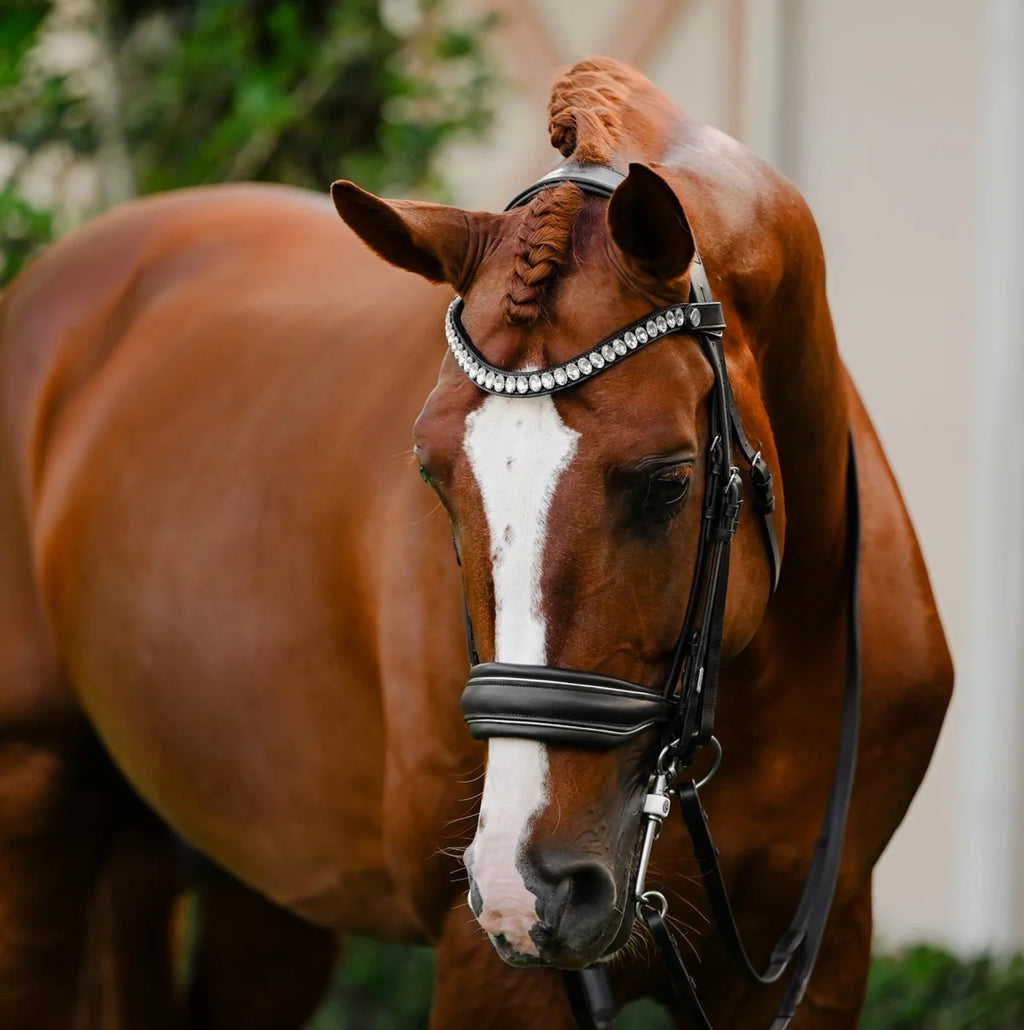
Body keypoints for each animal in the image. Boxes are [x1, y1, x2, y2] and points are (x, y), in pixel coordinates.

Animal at [0, 56, 952, 1028]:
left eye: (669, 480)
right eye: (433, 475)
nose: (530, 884)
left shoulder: (827, 952)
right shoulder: (489, 968)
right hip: (34, 805)